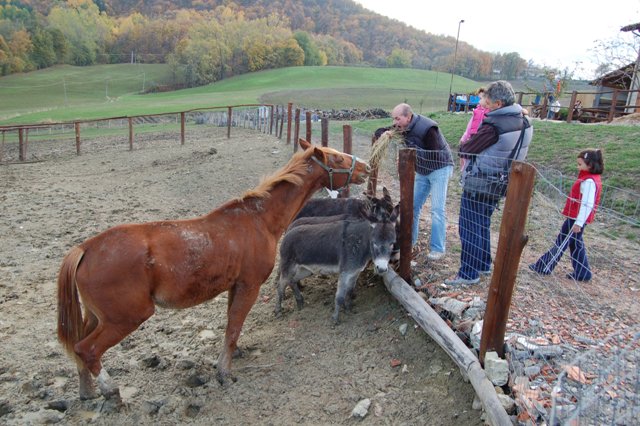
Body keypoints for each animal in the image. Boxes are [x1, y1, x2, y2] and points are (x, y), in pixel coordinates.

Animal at [61, 140, 370, 402]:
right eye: (337, 158)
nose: (366, 168)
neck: (258, 219)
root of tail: (86, 248)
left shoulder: (235, 286)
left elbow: (232, 325)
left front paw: (233, 355)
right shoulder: (249, 286)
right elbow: (233, 327)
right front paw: (224, 372)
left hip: (96, 318)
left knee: (77, 347)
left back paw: (86, 391)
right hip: (126, 318)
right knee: (87, 350)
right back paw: (110, 390)